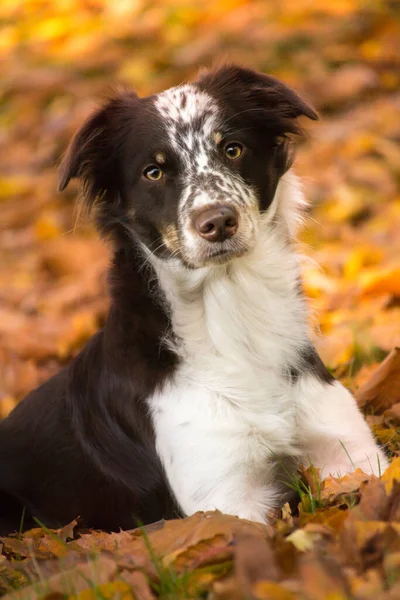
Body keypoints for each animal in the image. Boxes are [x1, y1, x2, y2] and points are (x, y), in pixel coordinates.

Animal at [0, 67, 388, 536]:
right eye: (153, 171)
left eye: (232, 148)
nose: (218, 221)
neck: (231, 308)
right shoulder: (225, 499)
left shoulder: (351, 451)